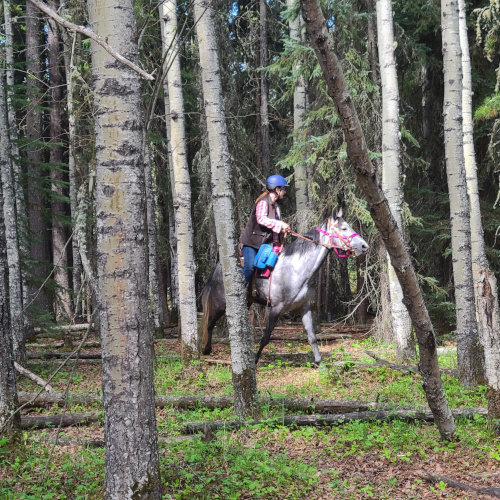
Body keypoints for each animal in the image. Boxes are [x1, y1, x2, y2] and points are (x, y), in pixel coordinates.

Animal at [200, 209, 372, 366]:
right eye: (344, 228)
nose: (365, 246)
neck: (296, 270)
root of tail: (218, 269)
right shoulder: (275, 308)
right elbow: (265, 338)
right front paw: (255, 361)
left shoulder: (305, 306)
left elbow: (312, 336)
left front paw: (319, 363)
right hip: (220, 304)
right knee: (209, 323)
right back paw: (206, 350)